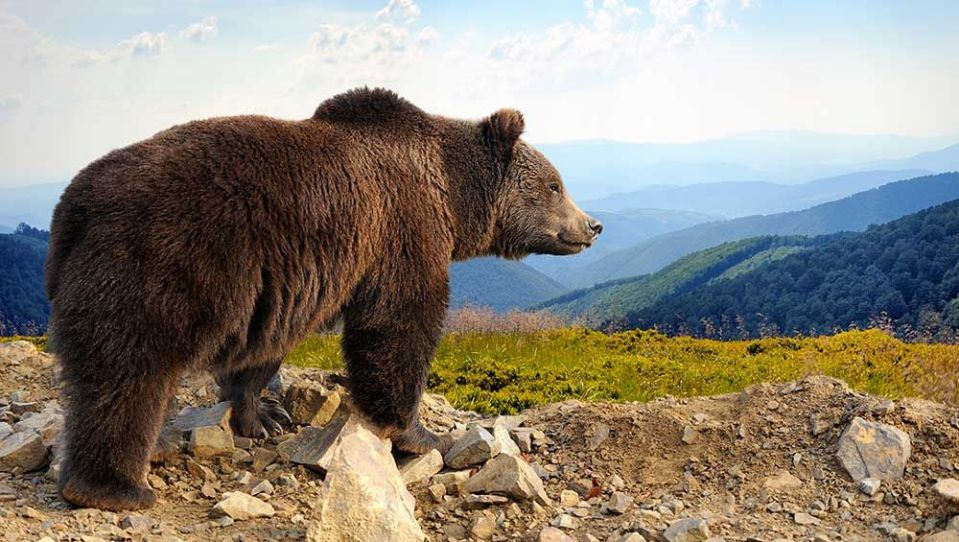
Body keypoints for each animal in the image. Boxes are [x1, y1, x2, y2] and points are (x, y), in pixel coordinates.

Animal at [47, 87, 600, 512]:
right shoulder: (402, 229)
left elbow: (264, 350)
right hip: (162, 262)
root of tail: (74, 206)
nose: (592, 225)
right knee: (129, 372)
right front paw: (420, 434)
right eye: (555, 184)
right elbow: (400, 325)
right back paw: (116, 486)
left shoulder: (283, 285)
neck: (452, 194)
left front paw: (263, 415)